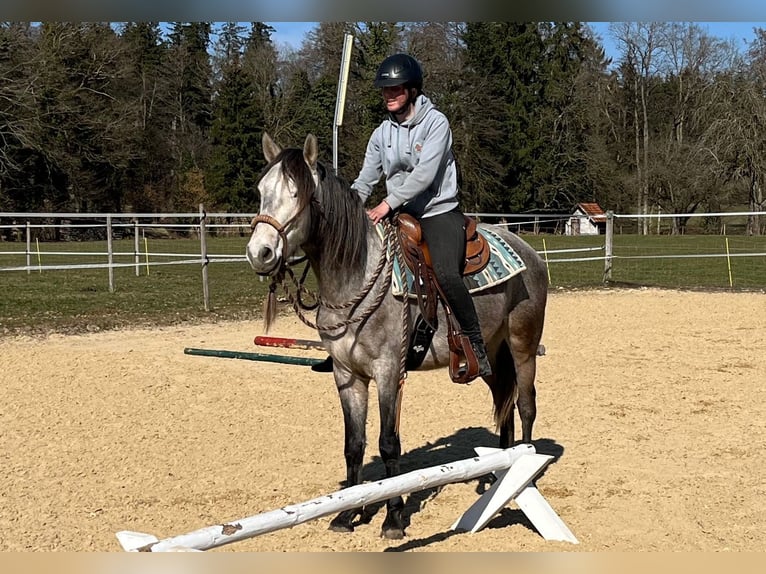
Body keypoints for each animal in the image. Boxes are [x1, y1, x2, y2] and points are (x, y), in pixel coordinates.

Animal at [249, 133, 548, 544]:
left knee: (525, 405)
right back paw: (497, 474)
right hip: (490, 354)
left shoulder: (389, 371)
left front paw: (392, 517)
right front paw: (347, 514)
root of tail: (529, 251)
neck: (355, 275)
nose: (259, 253)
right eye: (261, 190)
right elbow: (354, 445)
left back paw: (524, 475)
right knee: (504, 408)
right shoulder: (347, 376)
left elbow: (389, 443)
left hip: (523, 347)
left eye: (298, 194)